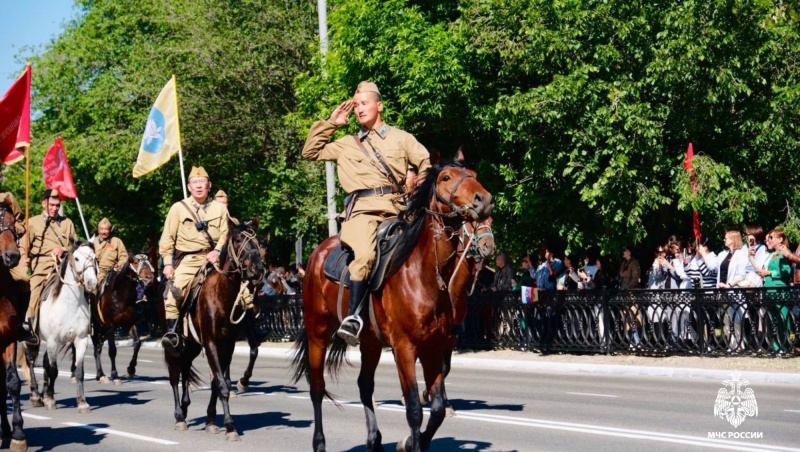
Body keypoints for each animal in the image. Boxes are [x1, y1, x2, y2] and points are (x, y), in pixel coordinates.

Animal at [24, 242, 97, 412]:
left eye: (94, 257)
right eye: (76, 258)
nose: (92, 283)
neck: (69, 303)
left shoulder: (81, 340)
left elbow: (78, 371)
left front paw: (82, 402)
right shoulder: (52, 341)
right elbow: (53, 370)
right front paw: (50, 400)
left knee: (44, 361)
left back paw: (43, 394)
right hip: (29, 340)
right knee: (30, 361)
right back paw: (36, 395)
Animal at [91, 252, 155, 384]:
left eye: (148, 261)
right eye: (136, 261)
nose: (149, 277)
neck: (119, 295)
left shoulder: (129, 323)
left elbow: (137, 343)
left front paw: (131, 369)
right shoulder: (110, 326)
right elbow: (112, 350)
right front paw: (115, 375)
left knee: (98, 347)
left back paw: (100, 375)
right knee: (94, 347)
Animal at [162, 219, 262, 442]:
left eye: (258, 241)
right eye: (238, 239)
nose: (258, 268)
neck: (223, 296)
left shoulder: (227, 345)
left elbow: (219, 382)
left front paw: (211, 420)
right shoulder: (211, 343)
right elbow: (222, 384)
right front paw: (230, 427)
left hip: (191, 346)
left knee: (184, 368)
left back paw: (185, 407)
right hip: (173, 347)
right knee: (174, 375)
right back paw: (179, 416)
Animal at [292, 157, 494, 450]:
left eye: (474, 175)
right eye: (446, 177)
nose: (484, 200)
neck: (425, 275)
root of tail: (317, 253)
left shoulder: (434, 346)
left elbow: (437, 409)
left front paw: (410, 441)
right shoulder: (404, 348)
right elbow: (414, 409)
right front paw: (412, 441)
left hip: (370, 343)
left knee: (364, 385)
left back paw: (373, 438)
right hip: (317, 333)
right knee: (317, 388)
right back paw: (319, 442)